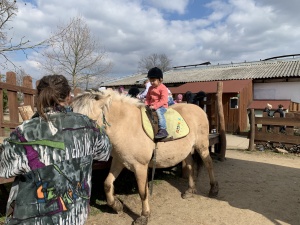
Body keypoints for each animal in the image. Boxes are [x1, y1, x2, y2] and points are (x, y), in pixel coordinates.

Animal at [71, 89, 219, 225]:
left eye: (88, 119)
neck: (126, 126)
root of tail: (198, 108)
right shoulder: (119, 161)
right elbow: (107, 184)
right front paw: (117, 206)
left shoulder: (140, 166)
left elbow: (143, 192)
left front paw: (144, 216)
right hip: (186, 150)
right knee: (190, 165)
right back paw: (190, 190)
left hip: (202, 146)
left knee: (209, 164)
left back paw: (213, 189)